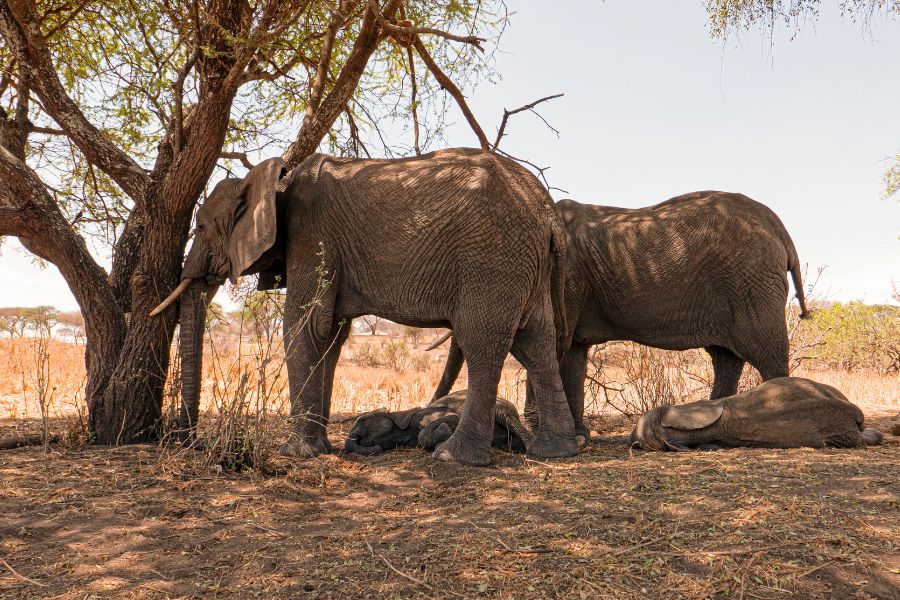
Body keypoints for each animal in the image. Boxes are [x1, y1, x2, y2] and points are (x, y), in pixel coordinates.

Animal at [429, 191, 809, 439]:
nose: (430, 407)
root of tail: (782, 232)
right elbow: (572, 352)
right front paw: (578, 434)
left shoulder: (565, 281)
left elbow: (556, 347)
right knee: (725, 357)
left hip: (752, 286)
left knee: (766, 354)